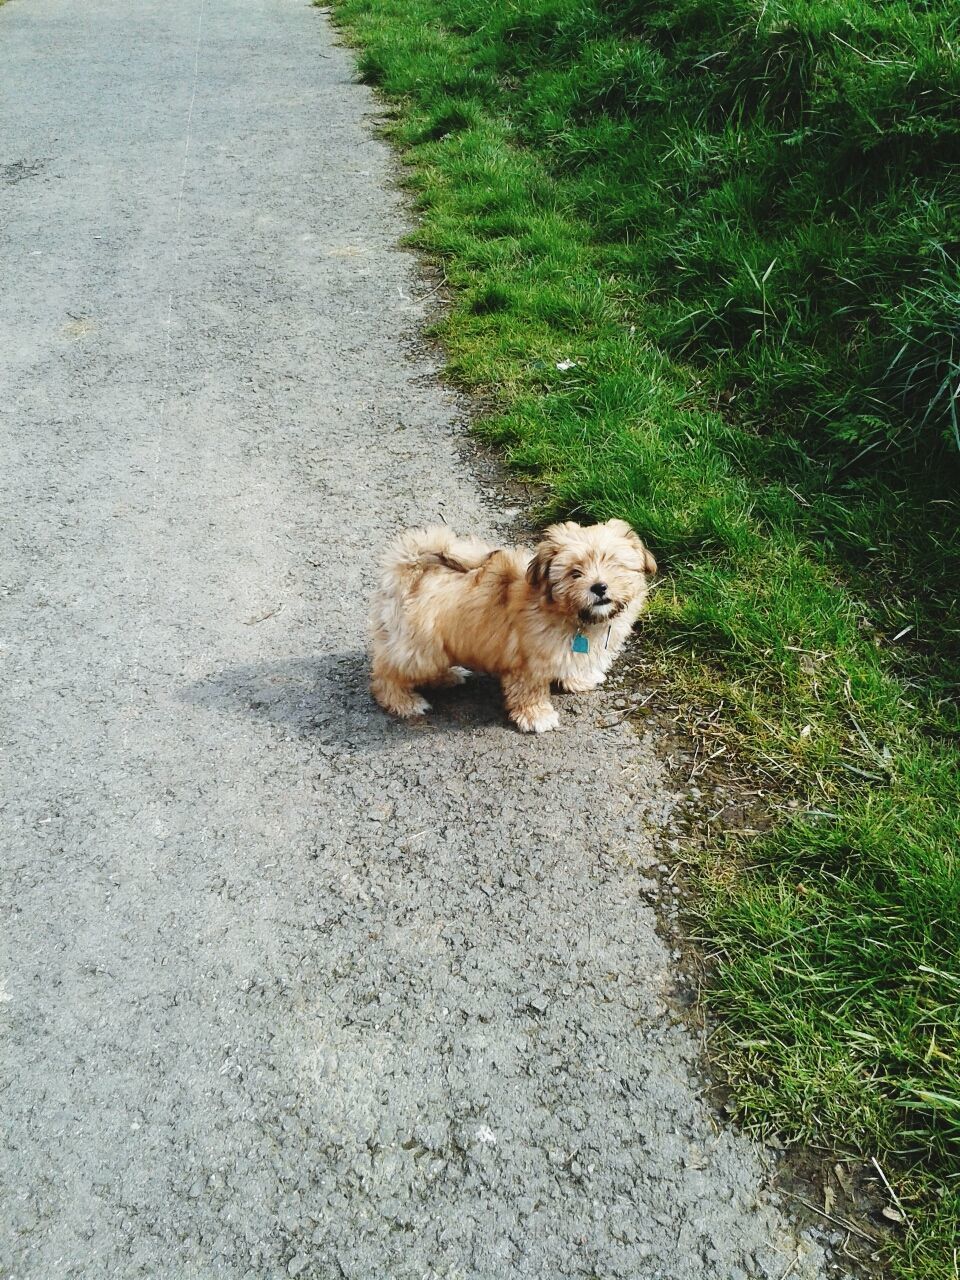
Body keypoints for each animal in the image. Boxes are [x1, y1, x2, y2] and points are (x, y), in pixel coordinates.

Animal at [371, 519, 660, 737]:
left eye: (614, 564)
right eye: (575, 573)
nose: (599, 587)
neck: (566, 611)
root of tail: (410, 570)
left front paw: (579, 678)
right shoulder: (527, 665)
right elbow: (530, 692)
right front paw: (537, 716)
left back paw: (448, 676)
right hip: (420, 650)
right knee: (386, 673)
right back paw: (404, 701)